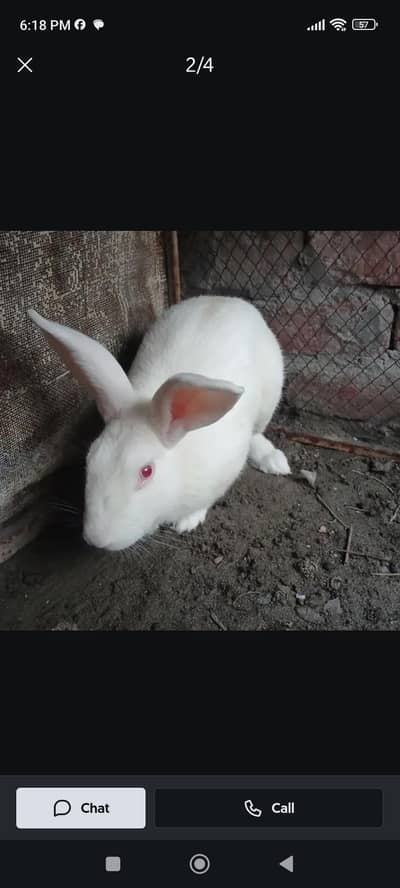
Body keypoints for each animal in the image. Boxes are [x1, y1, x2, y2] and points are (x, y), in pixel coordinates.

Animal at [28, 295, 290, 551]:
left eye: (146, 471)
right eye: (90, 458)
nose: (97, 540)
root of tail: (227, 299)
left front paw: (187, 522)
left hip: (269, 396)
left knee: (258, 432)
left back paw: (273, 460)